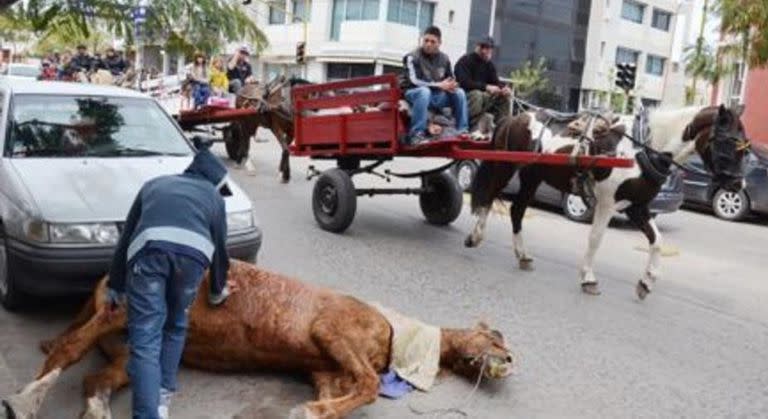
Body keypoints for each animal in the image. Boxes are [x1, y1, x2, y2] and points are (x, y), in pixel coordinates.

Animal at [464, 103, 748, 300]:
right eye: (728, 142)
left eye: (746, 146)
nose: (739, 185)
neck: (642, 148)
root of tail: (514, 117)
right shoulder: (607, 203)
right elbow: (596, 239)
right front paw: (588, 278)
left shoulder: (636, 206)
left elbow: (657, 241)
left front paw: (647, 281)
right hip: (505, 166)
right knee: (488, 198)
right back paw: (475, 236)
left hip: (532, 176)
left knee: (517, 210)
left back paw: (522, 255)